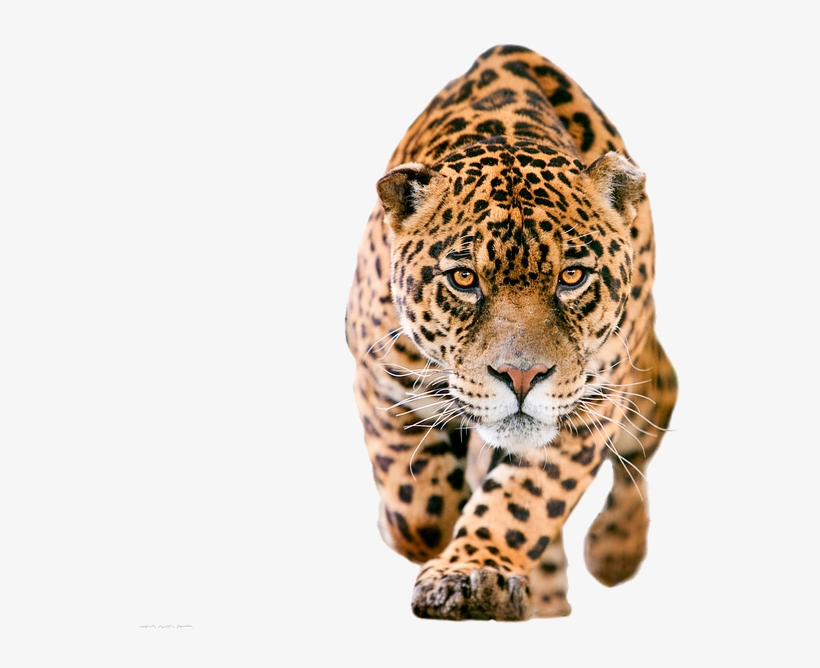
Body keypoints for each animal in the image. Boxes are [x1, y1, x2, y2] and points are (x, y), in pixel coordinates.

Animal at [345, 44, 678, 621]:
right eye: (464, 279)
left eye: (572, 277)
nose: (521, 377)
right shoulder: (377, 372)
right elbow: (417, 507)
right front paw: (422, 531)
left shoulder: (591, 406)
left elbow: (525, 501)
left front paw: (473, 572)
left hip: (645, 387)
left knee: (645, 442)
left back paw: (613, 552)